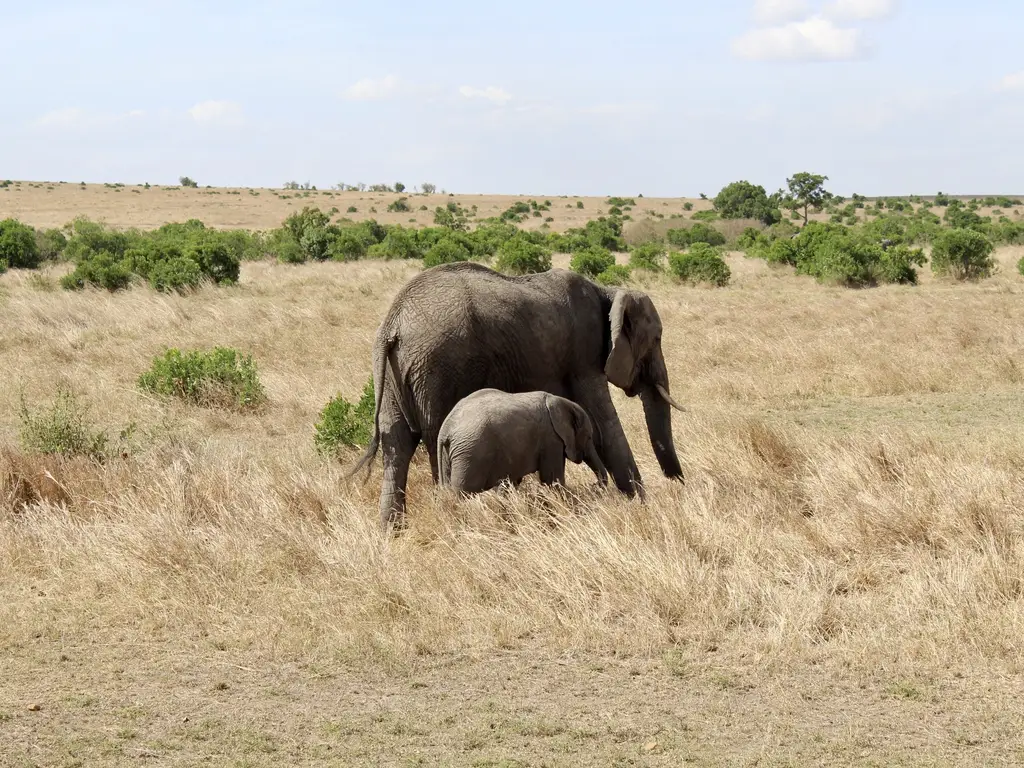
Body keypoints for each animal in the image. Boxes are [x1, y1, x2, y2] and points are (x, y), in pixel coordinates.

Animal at [437, 388, 609, 495]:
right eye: (588, 437)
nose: (593, 485)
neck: (559, 402)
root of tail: (445, 428)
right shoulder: (551, 439)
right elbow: (552, 479)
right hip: (471, 453)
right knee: (464, 493)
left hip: (451, 455)